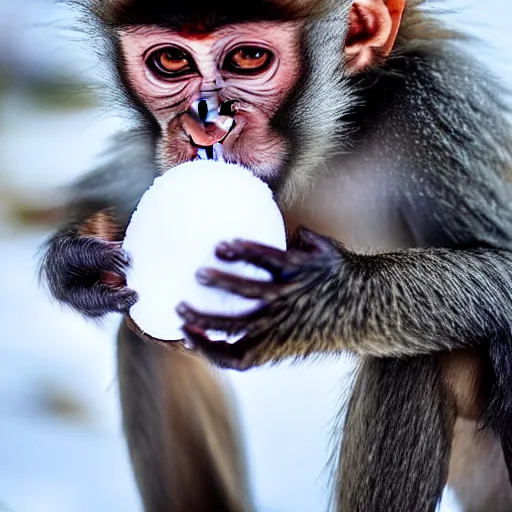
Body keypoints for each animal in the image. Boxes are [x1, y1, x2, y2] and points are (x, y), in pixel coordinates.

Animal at [38, 0, 512, 510]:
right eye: (171, 60)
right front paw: (76, 257)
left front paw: (322, 297)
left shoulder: (438, 116)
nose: (202, 121)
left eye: (248, 59)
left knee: (427, 354)